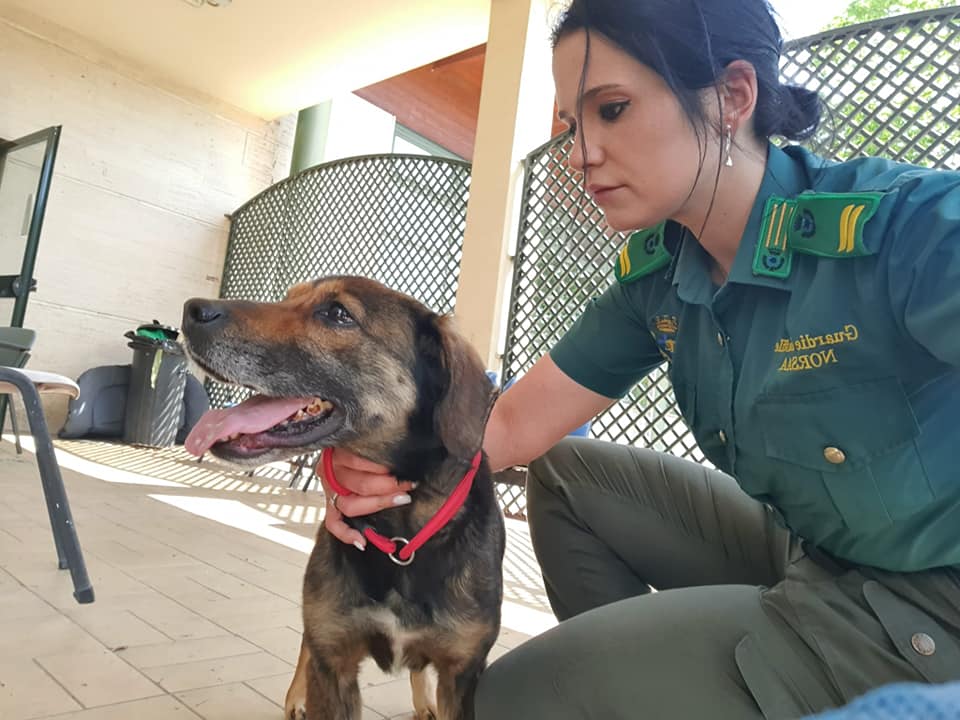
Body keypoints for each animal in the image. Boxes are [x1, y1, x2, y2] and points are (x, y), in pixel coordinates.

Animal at [183, 278, 506, 720]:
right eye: (288, 296)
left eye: (338, 314)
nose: (191, 310)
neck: (400, 537)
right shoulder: (334, 657)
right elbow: (316, 649)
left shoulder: (462, 673)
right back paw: (297, 697)